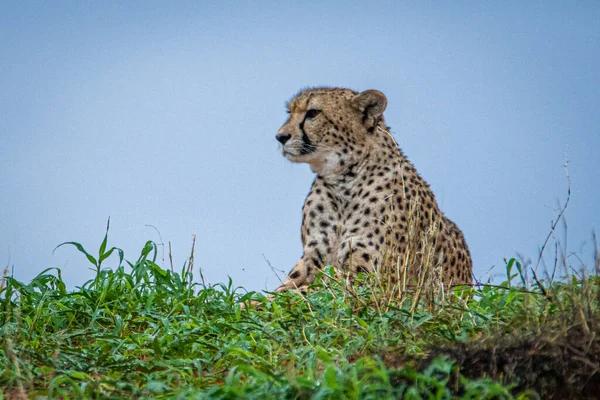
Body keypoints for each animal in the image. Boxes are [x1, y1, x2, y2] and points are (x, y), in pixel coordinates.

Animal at [274, 87, 472, 294]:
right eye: (289, 112)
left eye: (313, 113)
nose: (280, 137)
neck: (342, 182)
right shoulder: (311, 260)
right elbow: (282, 292)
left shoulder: (373, 279)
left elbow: (307, 291)